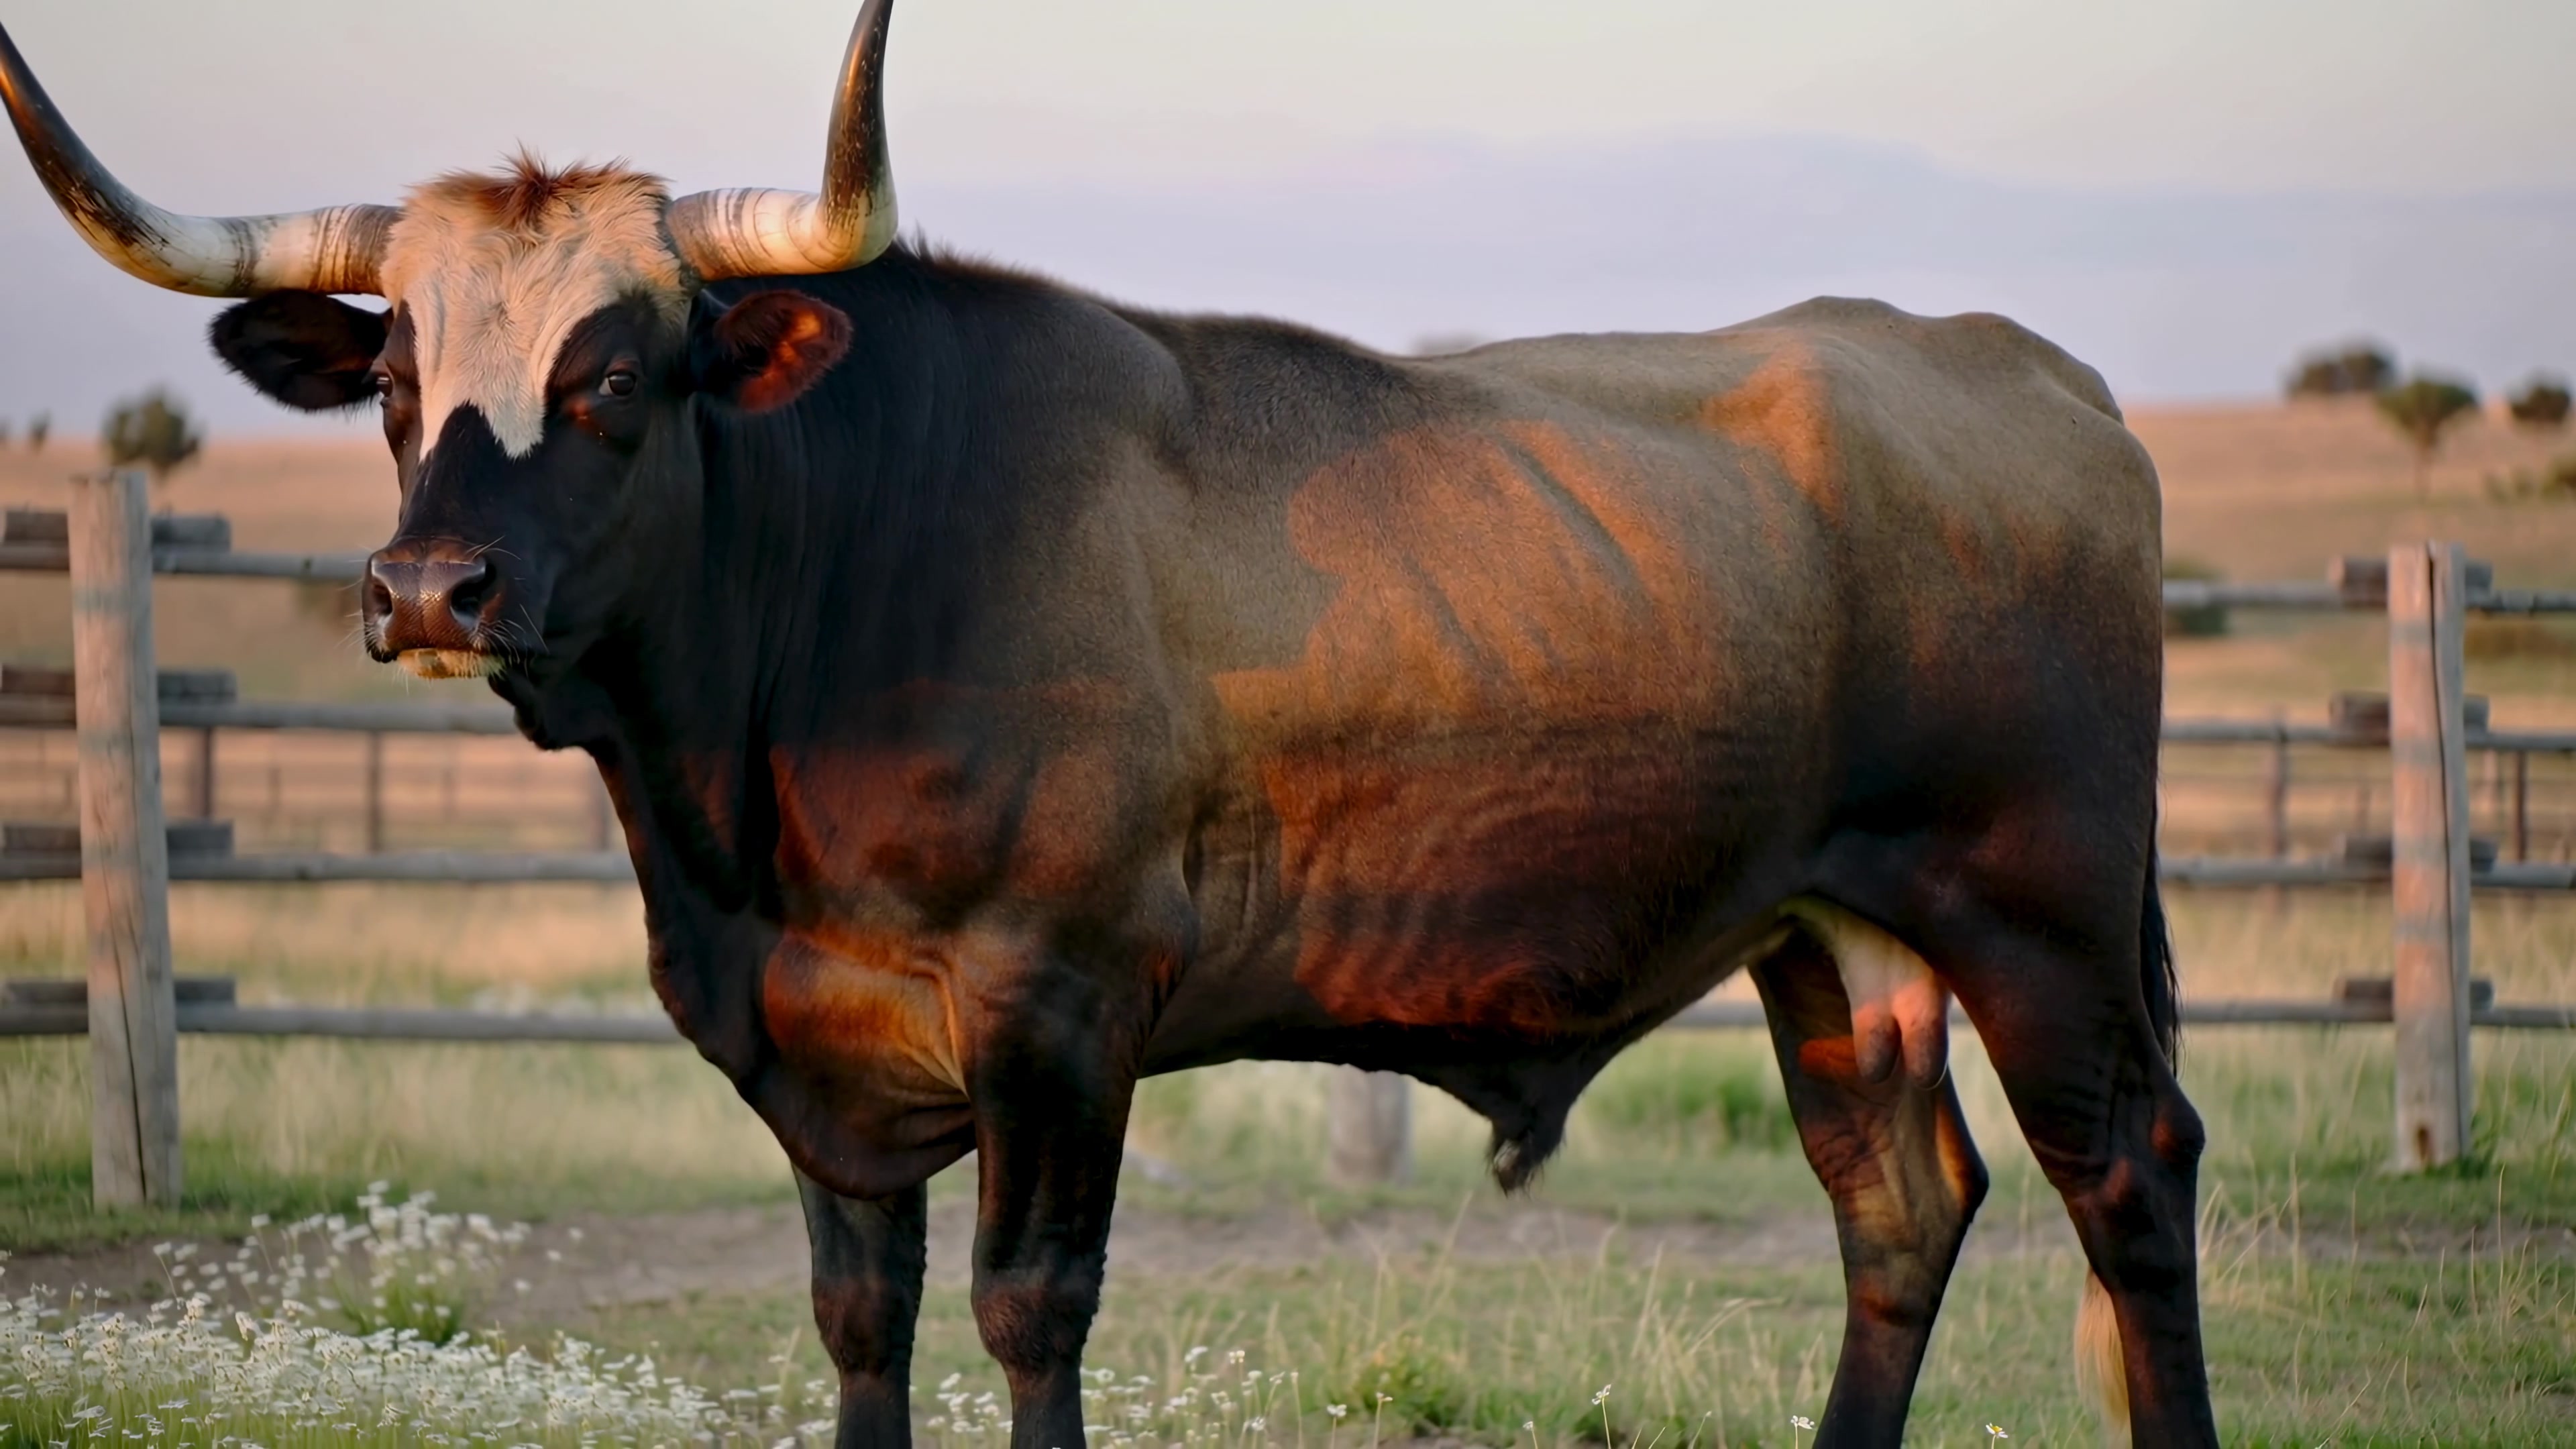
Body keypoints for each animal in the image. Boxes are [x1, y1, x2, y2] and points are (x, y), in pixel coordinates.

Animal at [1, 6, 2217, 1445]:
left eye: (616, 373)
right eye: (391, 384)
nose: (423, 593)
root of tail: (2019, 366)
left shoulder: (1058, 1006)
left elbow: (1025, 1310)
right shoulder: (824, 1053)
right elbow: (860, 1322)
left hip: (2036, 915)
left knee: (2129, 1180)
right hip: (1831, 936)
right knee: (1896, 1207)